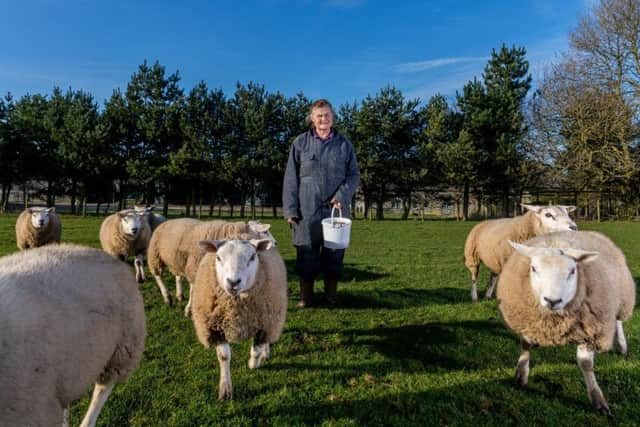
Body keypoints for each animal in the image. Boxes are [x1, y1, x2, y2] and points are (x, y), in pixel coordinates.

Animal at [148, 221, 278, 318]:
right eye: (265, 231)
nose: (276, 243)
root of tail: (167, 221)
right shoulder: (196, 267)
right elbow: (193, 291)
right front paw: (189, 309)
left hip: (177, 260)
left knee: (178, 276)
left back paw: (179, 295)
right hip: (155, 255)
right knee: (158, 276)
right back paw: (167, 298)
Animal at [190, 241, 288, 402]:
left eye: (253, 257)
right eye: (218, 257)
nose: (233, 282)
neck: (236, 309)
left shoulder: (264, 324)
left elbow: (256, 350)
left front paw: (253, 364)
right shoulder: (215, 326)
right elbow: (224, 356)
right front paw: (225, 390)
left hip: (271, 317)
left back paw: (265, 354)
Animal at [496, 232, 636, 416]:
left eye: (572, 271)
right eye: (533, 268)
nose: (552, 301)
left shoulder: (589, 330)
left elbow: (585, 364)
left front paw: (597, 398)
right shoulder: (529, 319)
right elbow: (525, 345)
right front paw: (521, 374)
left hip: (621, 299)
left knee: (618, 320)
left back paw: (622, 345)